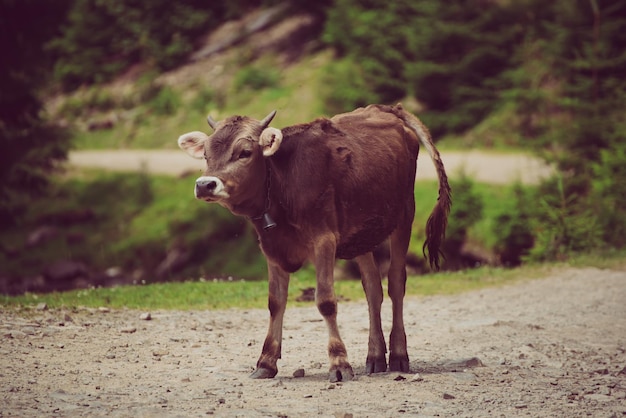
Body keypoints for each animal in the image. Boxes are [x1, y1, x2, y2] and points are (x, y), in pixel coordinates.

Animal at [177, 103, 448, 382]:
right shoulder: (271, 246)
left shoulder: (324, 240)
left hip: (404, 215)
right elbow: (275, 302)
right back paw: (374, 357)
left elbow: (326, 301)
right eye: (206, 154)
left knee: (395, 283)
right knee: (373, 288)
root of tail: (386, 108)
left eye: (245, 152)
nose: (205, 184)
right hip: (362, 233)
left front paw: (339, 363)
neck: (284, 184)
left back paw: (398, 355)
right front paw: (266, 362)